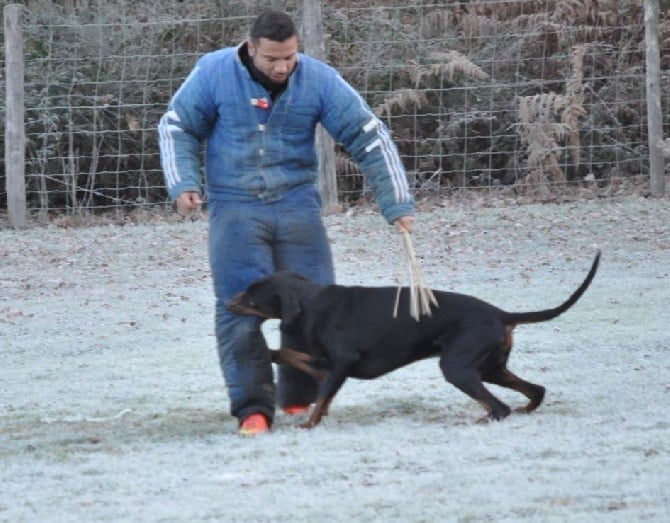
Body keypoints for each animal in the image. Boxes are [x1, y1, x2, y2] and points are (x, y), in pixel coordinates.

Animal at [227, 253, 604, 430]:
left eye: (251, 295)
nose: (227, 303)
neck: (312, 302)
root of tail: (502, 314)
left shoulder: (342, 364)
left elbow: (321, 398)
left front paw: (308, 424)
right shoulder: (325, 366)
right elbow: (288, 355)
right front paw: (268, 351)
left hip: (457, 368)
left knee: (499, 407)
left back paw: (484, 419)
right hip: (489, 368)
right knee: (535, 390)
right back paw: (525, 409)